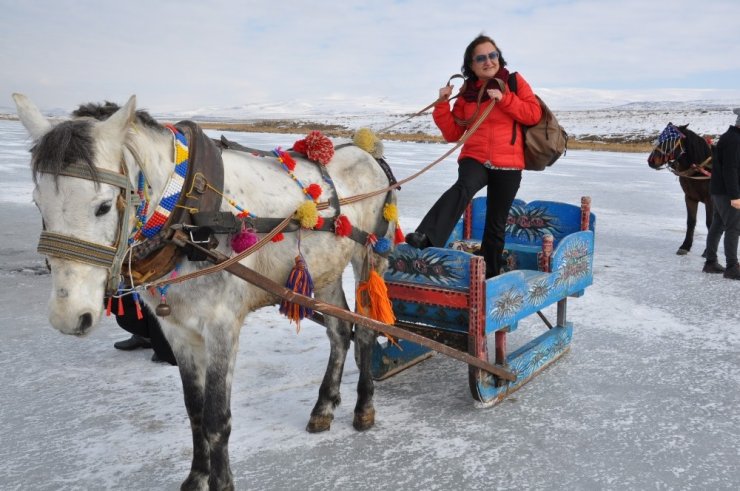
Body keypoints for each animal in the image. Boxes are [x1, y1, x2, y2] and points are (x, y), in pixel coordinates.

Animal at [14, 93, 396, 491]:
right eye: (38, 202)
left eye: (103, 206)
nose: (68, 316)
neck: (185, 213)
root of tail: (368, 152)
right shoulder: (178, 331)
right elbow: (194, 410)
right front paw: (196, 476)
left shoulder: (221, 327)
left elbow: (216, 417)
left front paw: (221, 482)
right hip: (324, 270)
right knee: (339, 331)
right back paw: (323, 407)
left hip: (369, 257)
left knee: (365, 332)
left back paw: (364, 407)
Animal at [648, 123, 712, 256]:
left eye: (669, 140)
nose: (651, 161)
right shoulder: (690, 198)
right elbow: (691, 222)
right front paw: (685, 246)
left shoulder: (711, 200)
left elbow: (710, 223)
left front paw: (707, 250)